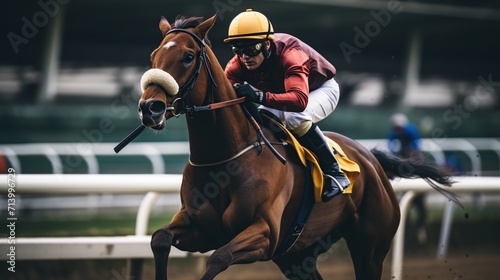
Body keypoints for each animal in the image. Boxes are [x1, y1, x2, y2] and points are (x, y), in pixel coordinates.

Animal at [137, 14, 458, 278]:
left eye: (188, 56)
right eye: (154, 55)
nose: (150, 108)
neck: (225, 159)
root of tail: (373, 160)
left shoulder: (265, 233)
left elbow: (219, 258)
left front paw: (249, 91)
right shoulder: (201, 229)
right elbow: (159, 239)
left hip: (371, 247)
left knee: (301, 117)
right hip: (297, 255)